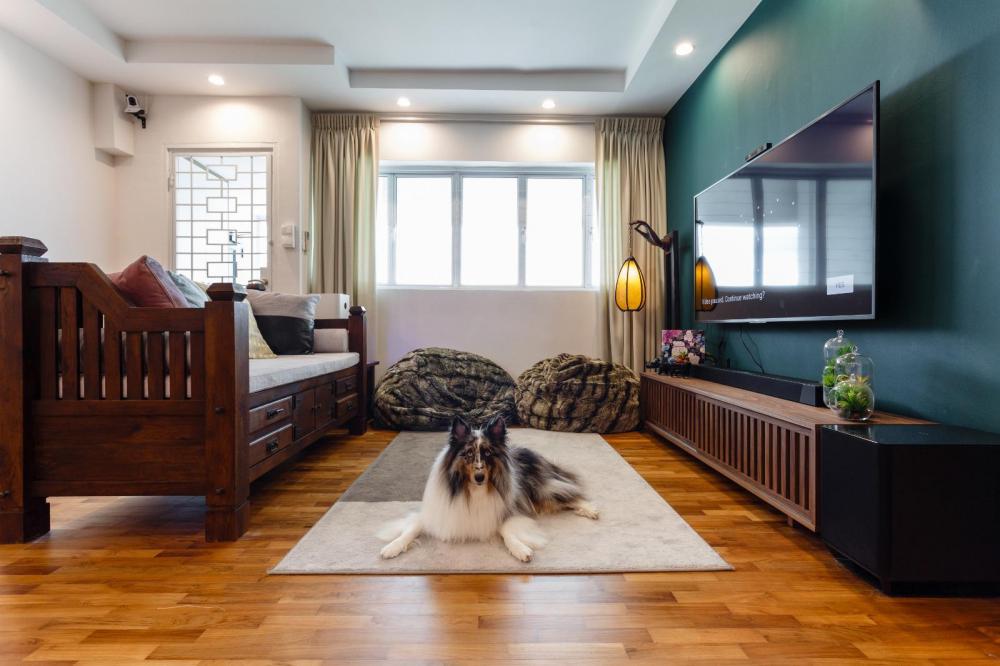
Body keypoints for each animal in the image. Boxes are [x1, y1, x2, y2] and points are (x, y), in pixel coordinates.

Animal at [378, 416, 596, 560]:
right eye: (468, 453)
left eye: (488, 453)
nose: (480, 477)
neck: (473, 492)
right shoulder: (436, 514)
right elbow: (411, 529)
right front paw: (392, 547)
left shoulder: (506, 510)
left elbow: (506, 529)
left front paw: (520, 549)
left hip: (541, 490)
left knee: (570, 493)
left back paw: (589, 509)